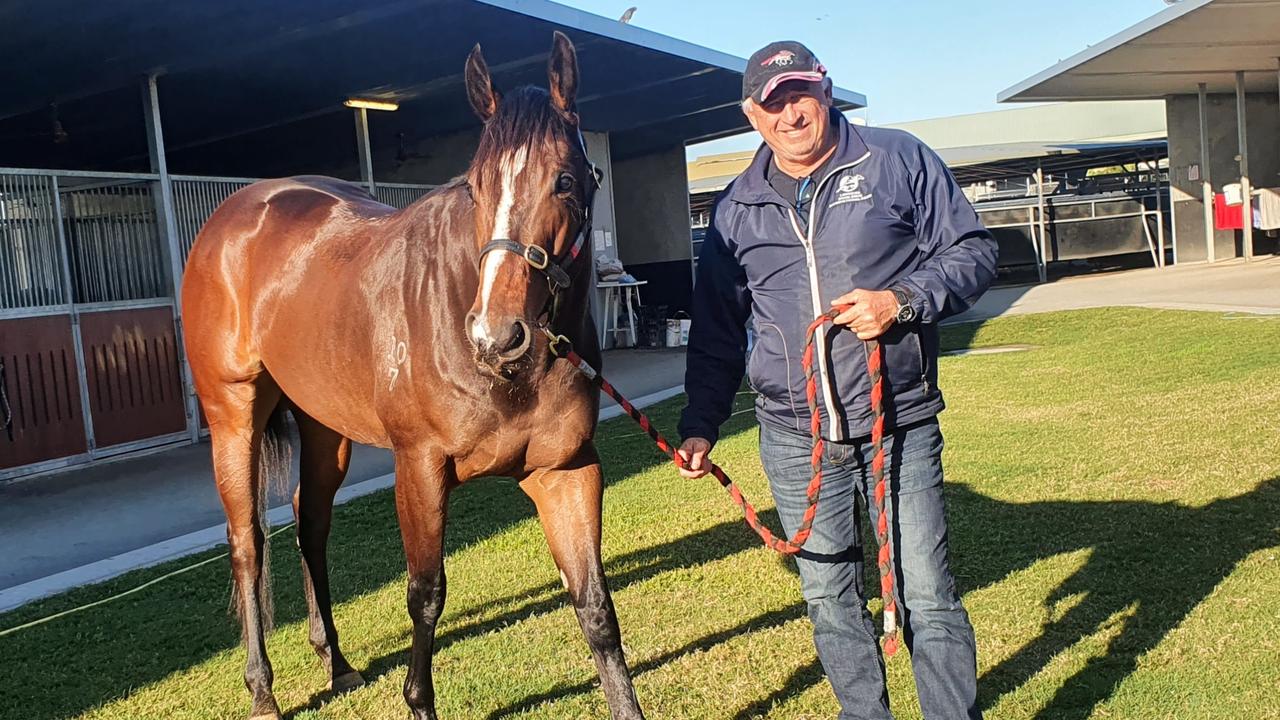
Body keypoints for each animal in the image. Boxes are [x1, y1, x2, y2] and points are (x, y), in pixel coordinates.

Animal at [185, 30, 645, 712]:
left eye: (565, 180)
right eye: (476, 187)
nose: (495, 335)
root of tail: (235, 216)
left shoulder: (565, 471)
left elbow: (595, 607)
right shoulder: (420, 468)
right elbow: (425, 595)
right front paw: (417, 699)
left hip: (324, 425)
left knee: (309, 521)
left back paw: (337, 663)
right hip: (234, 416)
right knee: (248, 543)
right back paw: (262, 693)